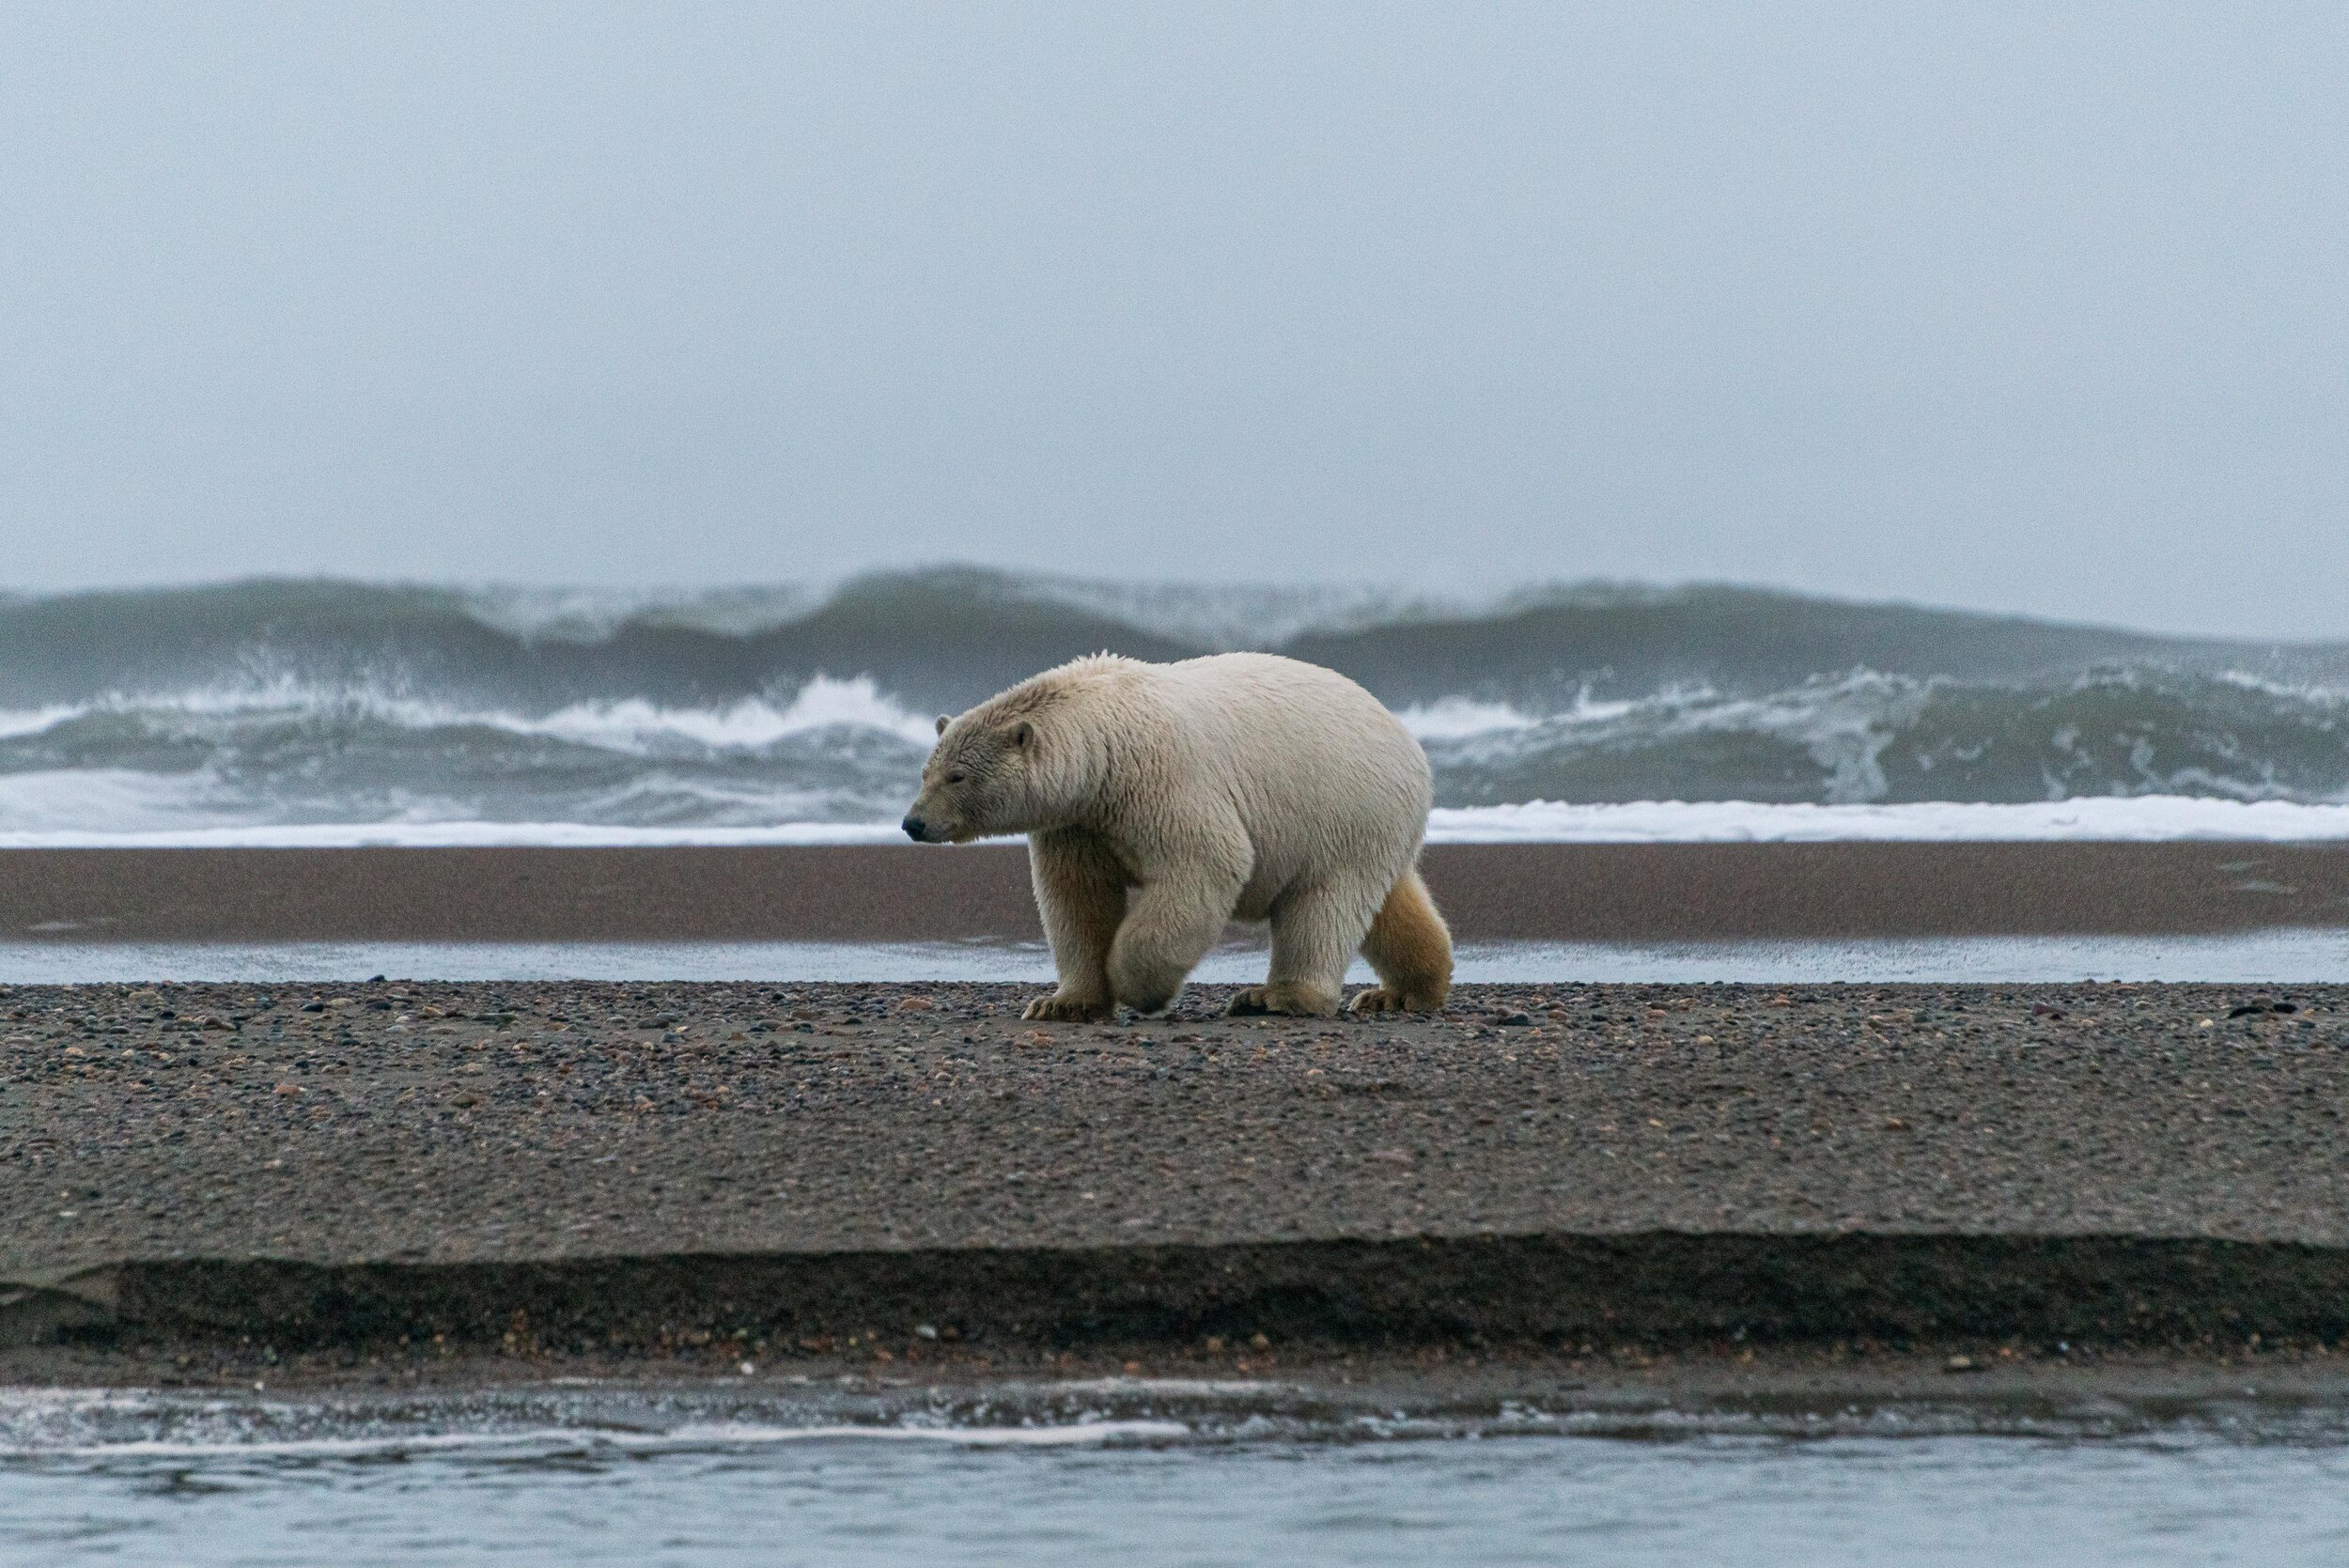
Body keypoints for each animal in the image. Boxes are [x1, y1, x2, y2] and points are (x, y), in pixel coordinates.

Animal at [902, 647, 1438, 1018]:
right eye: (926, 772)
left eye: (957, 777)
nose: (913, 823)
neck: (1104, 740)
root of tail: (1410, 744)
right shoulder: (1077, 820)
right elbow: (1077, 896)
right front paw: (1063, 1004)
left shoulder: (1162, 780)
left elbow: (1205, 864)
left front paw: (1138, 988)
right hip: (1369, 824)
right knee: (1391, 904)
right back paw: (1404, 991)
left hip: (1341, 809)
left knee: (1323, 904)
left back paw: (1278, 996)